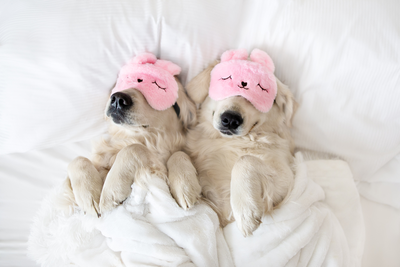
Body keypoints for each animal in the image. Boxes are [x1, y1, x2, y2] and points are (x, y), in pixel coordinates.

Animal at [61, 52, 202, 218]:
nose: (118, 99)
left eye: (158, 87)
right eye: (127, 80)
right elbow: (78, 160)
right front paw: (89, 194)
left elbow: (135, 149)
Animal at [184, 49, 296, 238]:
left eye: (262, 91)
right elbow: (179, 155)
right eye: (224, 80)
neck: (233, 141)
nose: (231, 119)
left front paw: (246, 210)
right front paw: (184, 186)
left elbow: (245, 160)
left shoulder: (286, 182)